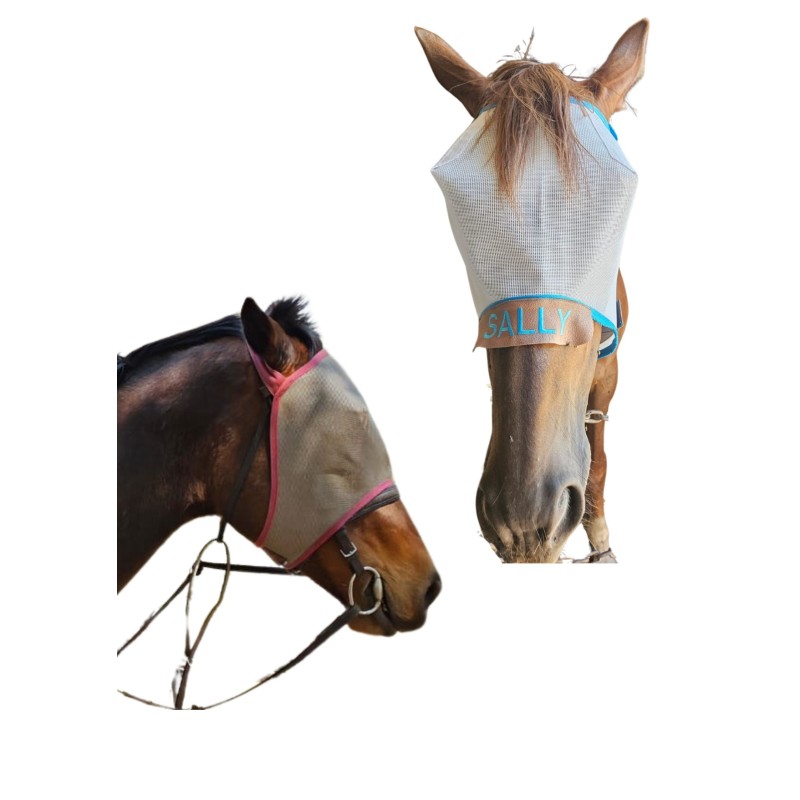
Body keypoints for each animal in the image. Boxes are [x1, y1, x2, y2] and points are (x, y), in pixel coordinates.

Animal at [416, 20, 649, 562]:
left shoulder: (610, 369)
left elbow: (598, 454)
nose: (524, 515)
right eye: (465, 219)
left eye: (613, 208)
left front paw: (601, 543)